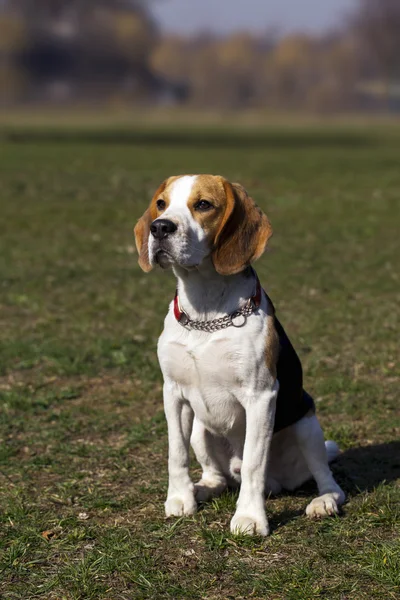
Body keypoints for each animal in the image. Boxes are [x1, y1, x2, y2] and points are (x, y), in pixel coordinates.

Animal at [134, 173, 344, 536]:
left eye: (203, 204)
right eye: (161, 204)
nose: (159, 228)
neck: (205, 313)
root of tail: (279, 484)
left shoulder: (261, 396)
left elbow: (253, 464)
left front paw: (249, 518)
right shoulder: (173, 393)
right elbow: (176, 453)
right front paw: (179, 499)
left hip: (307, 423)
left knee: (324, 477)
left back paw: (324, 502)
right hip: (201, 429)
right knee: (217, 476)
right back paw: (201, 488)